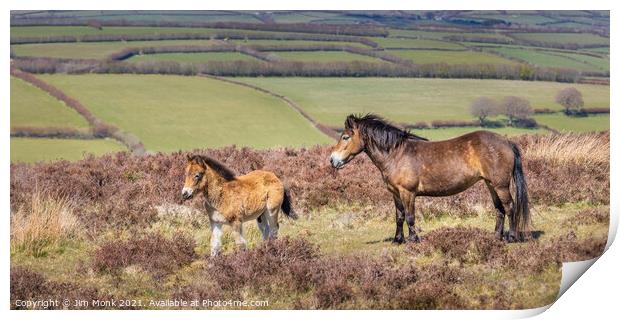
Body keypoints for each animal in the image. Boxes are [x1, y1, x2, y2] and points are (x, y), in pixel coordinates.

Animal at [332, 115, 532, 242]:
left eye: (345, 137)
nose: (332, 160)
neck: (397, 154)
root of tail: (506, 142)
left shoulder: (407, 193)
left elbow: (410, 217)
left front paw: (413, 240)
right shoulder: (395, 193)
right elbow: (399, 216)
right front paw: (397, 240)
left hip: (501, 185)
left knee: (510, 207)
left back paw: (511, 237)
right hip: (491, 185)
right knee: (499, 209)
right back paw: (496, 237)